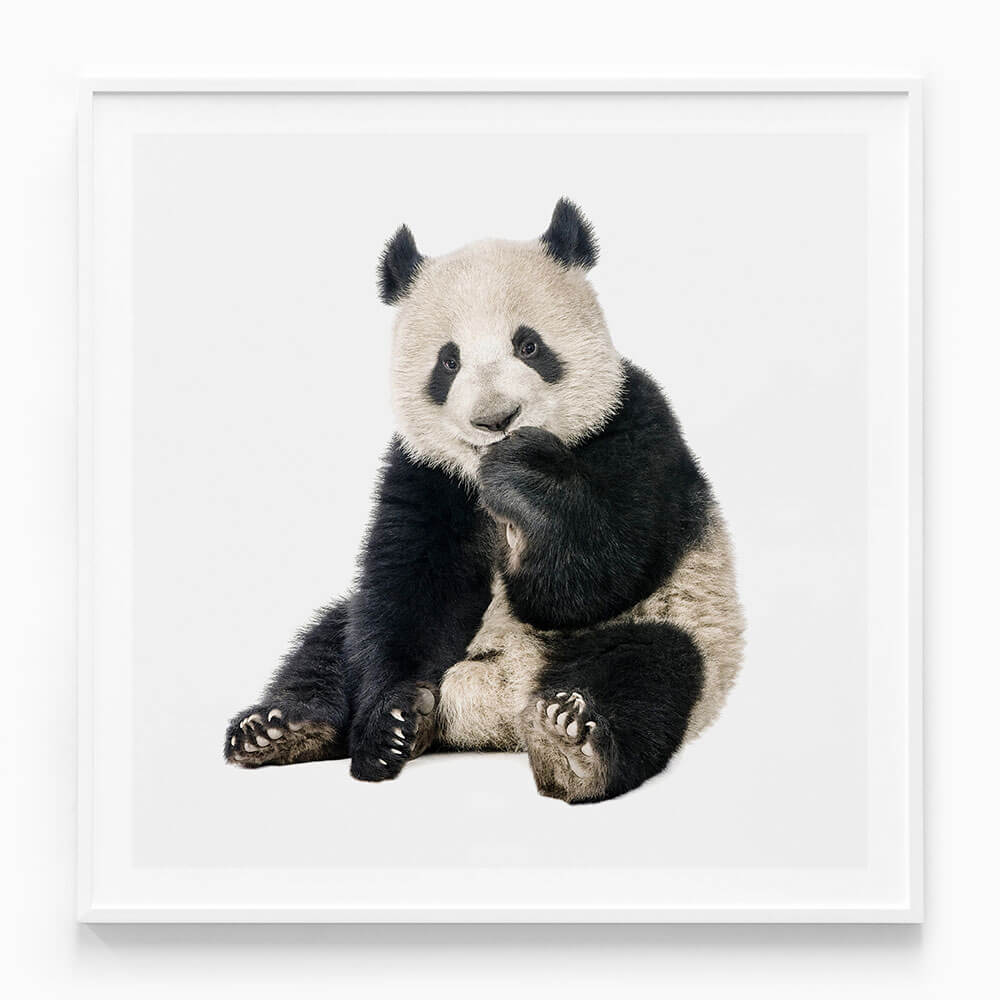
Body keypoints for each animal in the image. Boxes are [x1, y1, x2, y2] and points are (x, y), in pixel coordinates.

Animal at [224, 198, 745, 804]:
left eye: (529, 346)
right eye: (448, 362)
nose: (496, 420)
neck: (480, 473)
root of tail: (494, 711)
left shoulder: (634, 427)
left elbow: (593, 576)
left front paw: (525, 482)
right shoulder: (426, 473)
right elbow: (410, 589)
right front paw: (388, 726)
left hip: (683, 624)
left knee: (648, 671)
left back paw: (572, 746)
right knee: (332, 640)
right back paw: (282, 728)